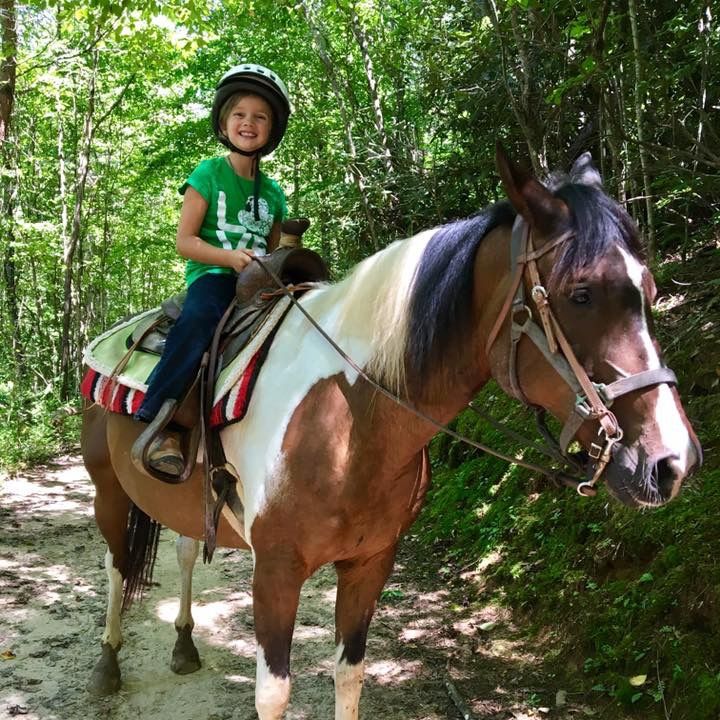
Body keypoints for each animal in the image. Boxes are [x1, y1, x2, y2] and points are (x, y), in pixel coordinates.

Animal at [81, 145, 700, 716]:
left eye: (648, 290)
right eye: (580, 294)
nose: (673, 462)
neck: (352, 417)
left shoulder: (371, 562)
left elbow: (349, 676)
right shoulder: (276, 569)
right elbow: (273, 694)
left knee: (184, 549)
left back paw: (185, 643)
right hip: (107, 489)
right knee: (116, 563)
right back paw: (107, 663)